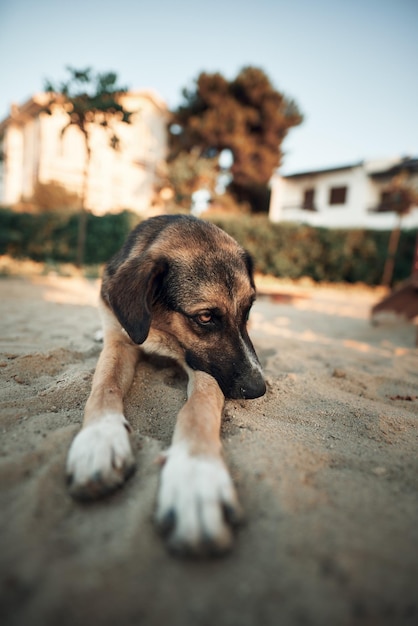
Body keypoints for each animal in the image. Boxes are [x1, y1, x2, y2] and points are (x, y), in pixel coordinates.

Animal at [67, 213, 266, 552]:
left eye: (248, 310)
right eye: (205, 317)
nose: (258, 389)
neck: (159, 326)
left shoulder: (203, 367)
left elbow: (197, 410)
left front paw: (195, 476)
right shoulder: (120, 341)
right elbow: (104, 386)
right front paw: (100, 439)